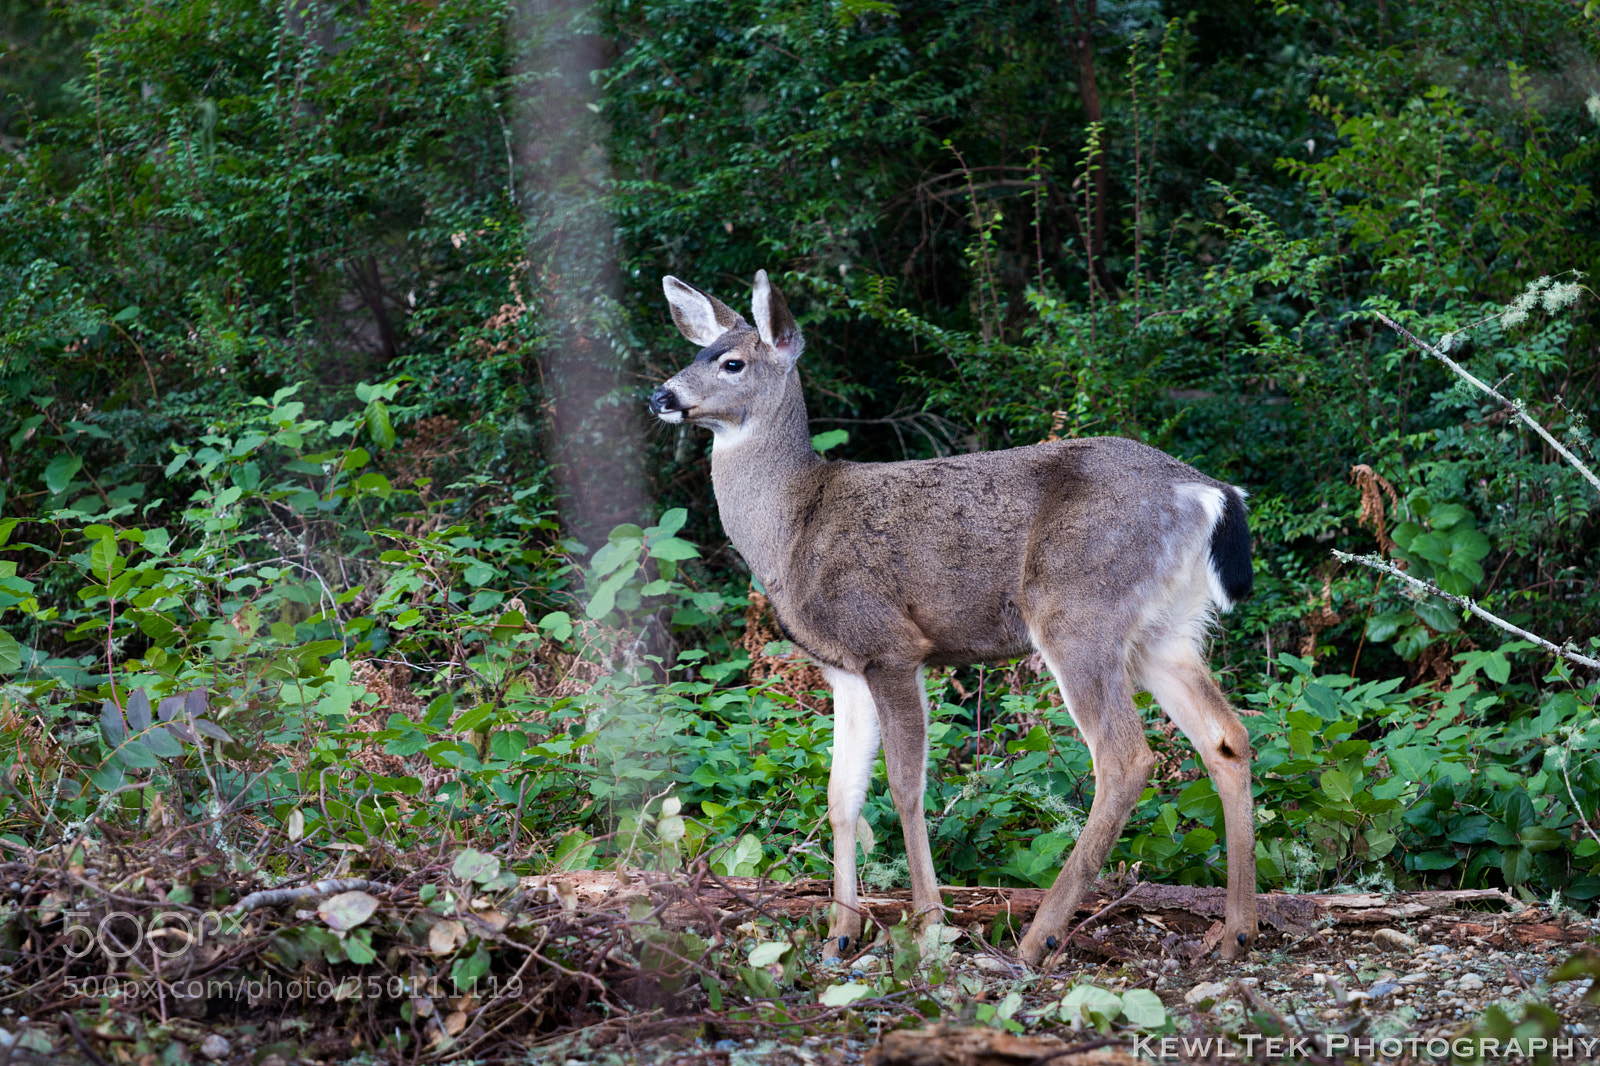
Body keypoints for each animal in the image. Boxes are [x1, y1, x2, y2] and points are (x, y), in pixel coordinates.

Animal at [648, 270, 1259, 965]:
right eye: (697, 351)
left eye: (732, 362)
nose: (661, 396)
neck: (795, 528)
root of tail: (1209, 492)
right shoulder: (844, 669)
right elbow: (840, 796)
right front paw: (839, 933)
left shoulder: (890, 645)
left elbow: (905, 787)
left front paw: (929, 925)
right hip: (1165, 629)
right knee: (1226, 737)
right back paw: (1235, 930)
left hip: (1078, 610)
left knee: (1126, 757)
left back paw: (1038, 937)